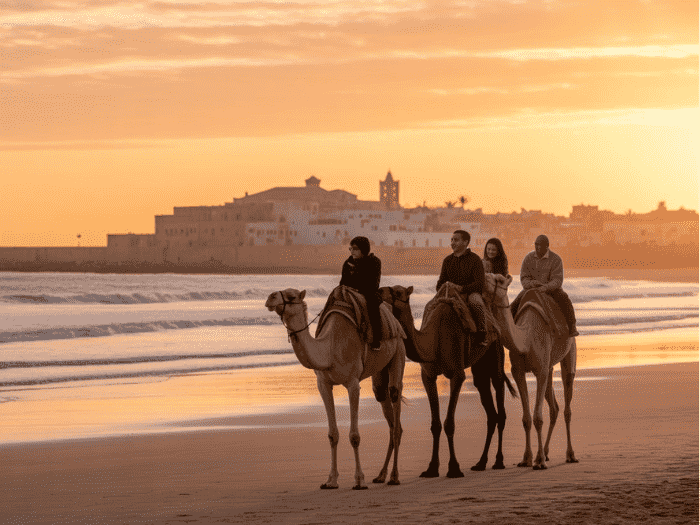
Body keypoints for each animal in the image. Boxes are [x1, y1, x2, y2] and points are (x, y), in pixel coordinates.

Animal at [265, 288, 406, 489]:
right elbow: (333, 435)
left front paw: (359, 480)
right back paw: (381, 475)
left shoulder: (353, 383)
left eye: (291, 297)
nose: (270, 298)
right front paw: (331, 480)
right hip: (379, 373)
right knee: (386, 405)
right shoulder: (323, 384)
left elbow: (354, 436)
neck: (330, 349)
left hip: (398, 349)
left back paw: (394, 477)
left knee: (395, 398)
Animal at [380, 283, 516, 477]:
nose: (379, 291)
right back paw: (481, 463)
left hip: (495, 348)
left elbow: (449, 423)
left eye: (398, 292)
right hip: (479, 367)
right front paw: (431, 468)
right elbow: (435, 425)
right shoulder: (428, 376)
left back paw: (498, 461)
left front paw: (454, 468)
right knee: (490, 408)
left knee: (499, 397)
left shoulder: (457, 374)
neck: (434, 340)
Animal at [485, 274, 579, 470]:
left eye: (499, 279)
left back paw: (570, 455)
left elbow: (537, 418)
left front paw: (540, 461)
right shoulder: (518, 371)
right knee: (554, 408)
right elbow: (527, 419)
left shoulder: (540, 370)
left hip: (570, 350)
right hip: (550, 367)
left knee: (567, 403)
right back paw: (545, 453)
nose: (482, 278)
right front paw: (527, 459)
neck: (526, 339)